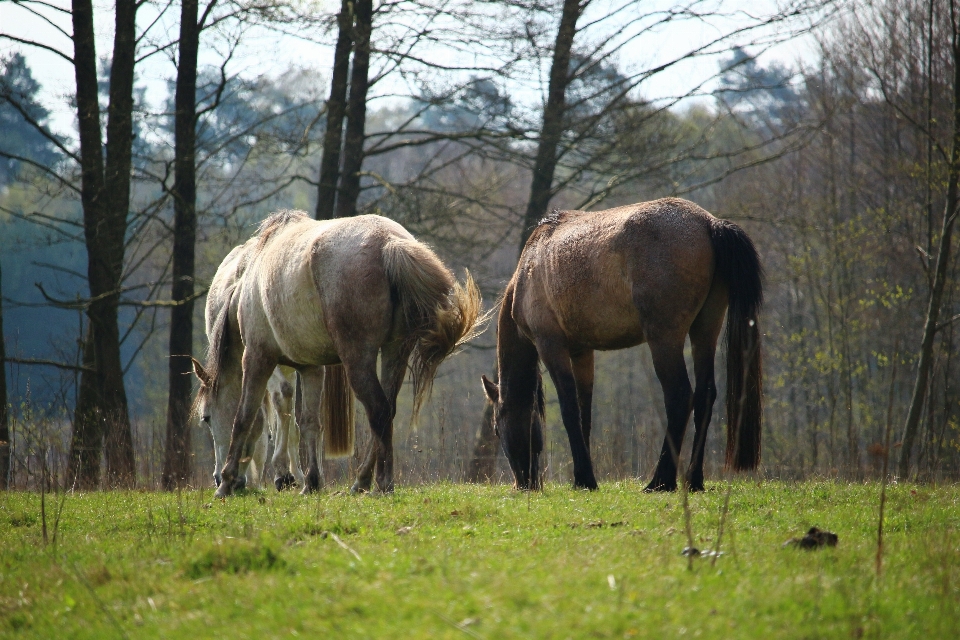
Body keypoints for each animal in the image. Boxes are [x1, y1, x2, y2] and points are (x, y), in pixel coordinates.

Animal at [194, 208, 480, 498]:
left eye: (206, 418)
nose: (217, 478)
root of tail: (389, 242)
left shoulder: (257, 357)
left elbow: (244, 417)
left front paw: (228, 482)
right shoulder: (309, 368)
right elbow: (309, 422)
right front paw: (311, 482)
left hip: (358, 360)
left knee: (378, 410)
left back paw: (382, 483)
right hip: (395, 353)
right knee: (387, 410)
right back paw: (361, 481)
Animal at [484, 198, 760, 492]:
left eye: (497, 429)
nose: (525, 483)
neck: (529, 267)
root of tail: (709, 223)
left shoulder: (550, 344)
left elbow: (569, 409)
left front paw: (585, 478)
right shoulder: (581, 351)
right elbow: (584, 413)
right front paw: (582, 477)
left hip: (664, 337)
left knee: (679, 395)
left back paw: (661, 480)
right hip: (705, 330)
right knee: (705, 395)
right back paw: (694, 480)